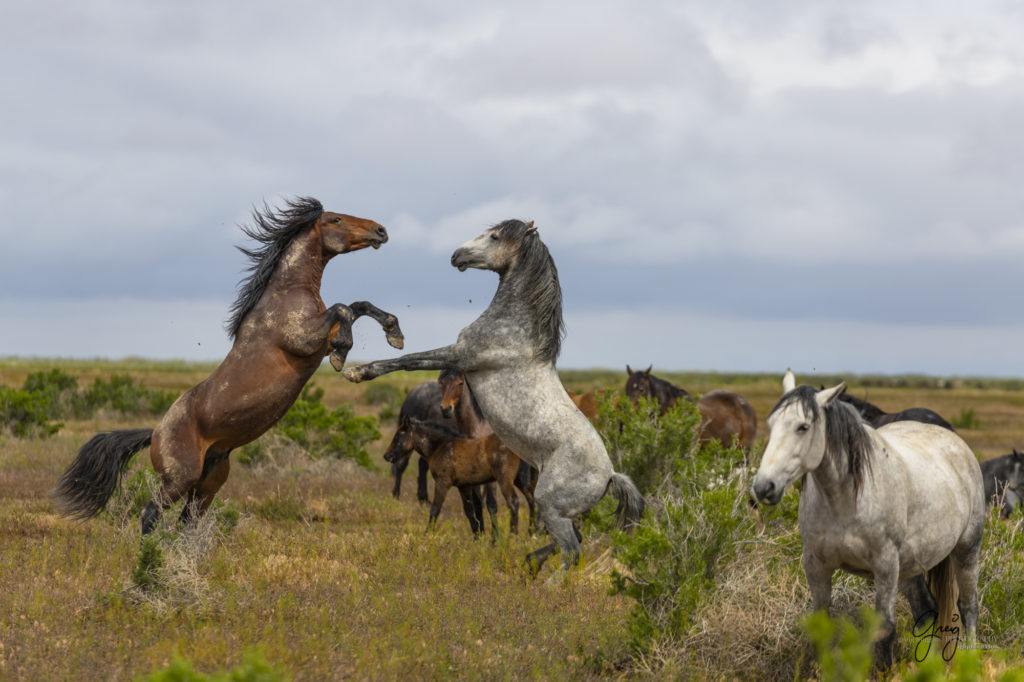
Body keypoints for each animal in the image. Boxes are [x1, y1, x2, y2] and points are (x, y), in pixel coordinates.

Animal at [54, 193, 401, 532]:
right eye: (336, 219)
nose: (381, 230)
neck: (287, 294)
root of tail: (155, 433)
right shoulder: (304, 340)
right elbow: (343, 308)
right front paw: (343, 356)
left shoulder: (321, 333)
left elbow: (358, 305)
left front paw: (394, 333)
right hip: (180, 479)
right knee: (150, 514)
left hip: (210, 481)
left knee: (186, 522)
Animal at [348, 219, 643, 577]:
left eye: (495, 236)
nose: (456, 255)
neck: (517, 330)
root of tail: (609, 477)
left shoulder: (461, 356)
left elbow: (407, 360)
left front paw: (359, 371)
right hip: (565, 513)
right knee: (577, 540)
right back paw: (530, 563)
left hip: (550, 506)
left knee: (571, 551)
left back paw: (543, 582)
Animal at [753, 376, 983, 663]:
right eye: (771, 425)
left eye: (803, 427)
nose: (764, 487)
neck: (844, 501)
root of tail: (954, 439)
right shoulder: (816, 565)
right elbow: (821, 626)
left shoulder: (885, 566)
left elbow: (885, 631)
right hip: (909, 568)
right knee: (926, 610)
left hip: (966, 550)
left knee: (968, 607)